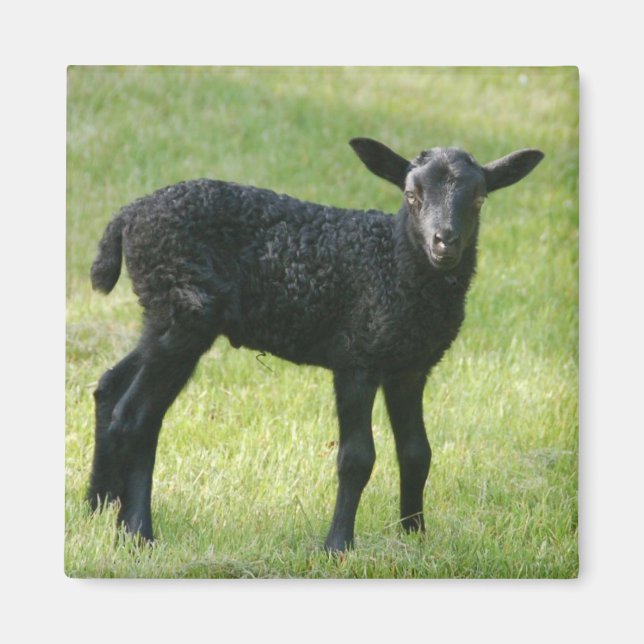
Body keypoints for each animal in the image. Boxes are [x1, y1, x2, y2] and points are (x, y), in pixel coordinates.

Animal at [88, 137, 544, 552]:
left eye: (480, 199)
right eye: (411, 196)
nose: (443, 242)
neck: (392, 265)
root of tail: (129, 216)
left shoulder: (410, 367)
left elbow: (417, 452)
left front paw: (415, 535)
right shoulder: (357, 358)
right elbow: (357, 458)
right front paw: (338, 545)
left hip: (166, 319)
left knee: (111, 387)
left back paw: (99, 506)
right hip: (183, 311)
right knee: (137, 416)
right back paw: (138, 533)